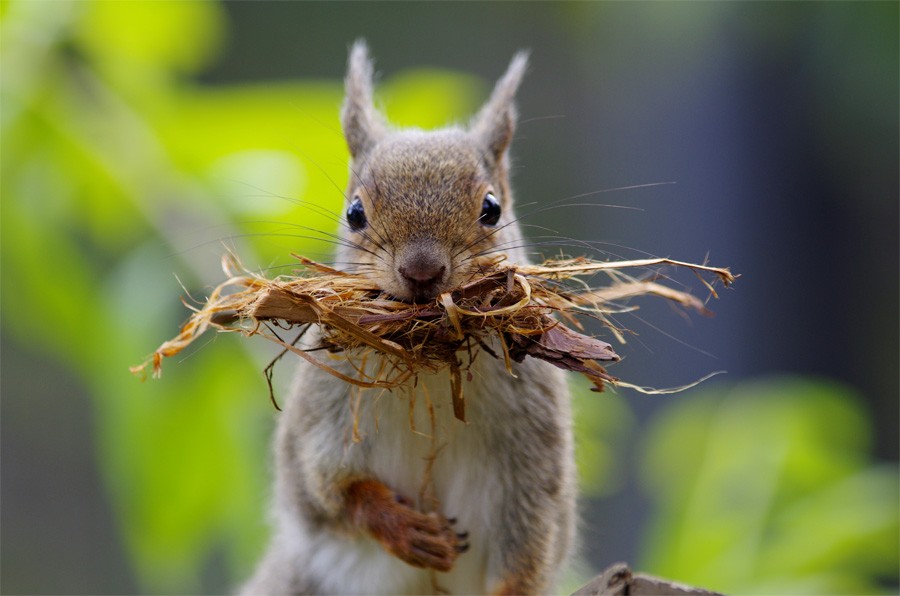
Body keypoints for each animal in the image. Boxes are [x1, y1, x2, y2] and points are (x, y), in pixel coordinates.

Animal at [239, 39, 576, 592]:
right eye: (355, 213)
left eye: (492, 208)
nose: (422, 270)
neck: (429, 362)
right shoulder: (321, 416)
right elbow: (327, 494)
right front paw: (402, 527)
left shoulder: (533, 453)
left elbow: (528, 547)